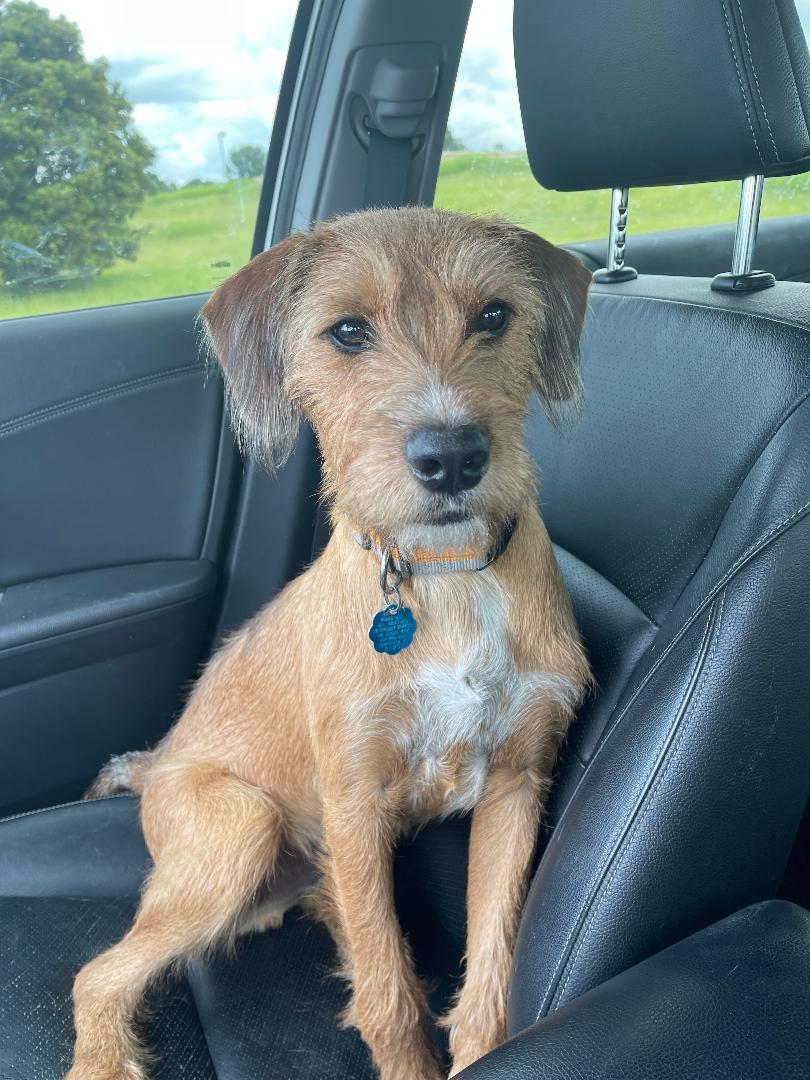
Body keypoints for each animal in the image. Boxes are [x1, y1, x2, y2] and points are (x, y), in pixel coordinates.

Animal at [66, 204, 591, 1080]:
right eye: (347, 330)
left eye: (494, 316)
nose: (452, 457)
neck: (443, 575)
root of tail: (157, 764)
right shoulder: (354, 800)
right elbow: (385, 995)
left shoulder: (518, 785)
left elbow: (487, 971)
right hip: (240, 827)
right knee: (96, 974)